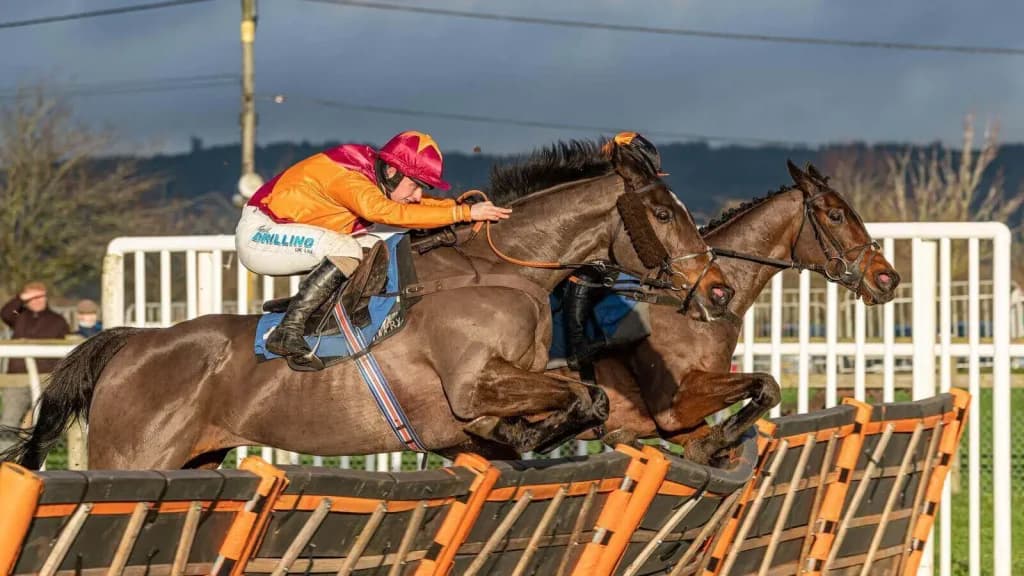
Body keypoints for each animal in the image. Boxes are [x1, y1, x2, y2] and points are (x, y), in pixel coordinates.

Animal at [2, 140, 733, 470]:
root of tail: (130, 342)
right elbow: (582, 398)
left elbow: (589, 399)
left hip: (195, 459)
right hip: (131, 458)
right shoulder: (473, 383)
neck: (498, 273)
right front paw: (518, 436)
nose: (719, 289)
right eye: (663, 213)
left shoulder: (528, 376)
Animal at [566, 160, 900, 462]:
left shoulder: (677, 424)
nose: (888, 278)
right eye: (836, 215)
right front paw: (711, 445)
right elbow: (767, 385)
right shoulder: (672, 408)